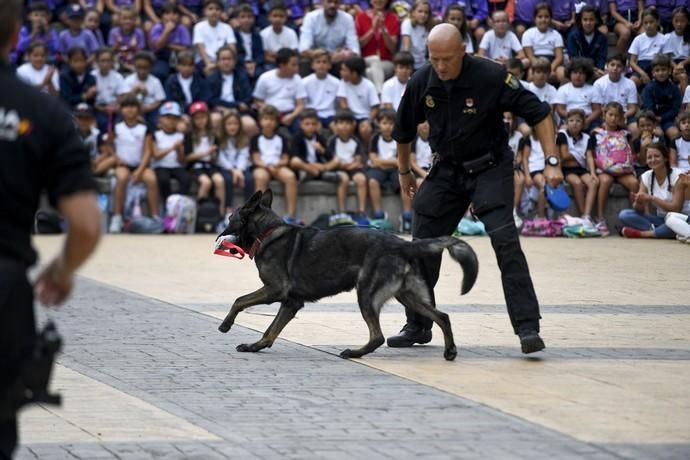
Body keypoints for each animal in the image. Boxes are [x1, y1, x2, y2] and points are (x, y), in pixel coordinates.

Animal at [218, 190, 476, 360]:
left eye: (230, 219)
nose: (219, 235)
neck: (268, 231)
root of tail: (403, 244)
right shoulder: (291, 303)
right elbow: (271, 331)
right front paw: (255, 346)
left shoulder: (274, 290)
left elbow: (239, 300)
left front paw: (226, 324)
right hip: (409, 296)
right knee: (442, 316)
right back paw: (450, 351)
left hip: (367, 295)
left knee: (377, 336)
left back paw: (354, 352)